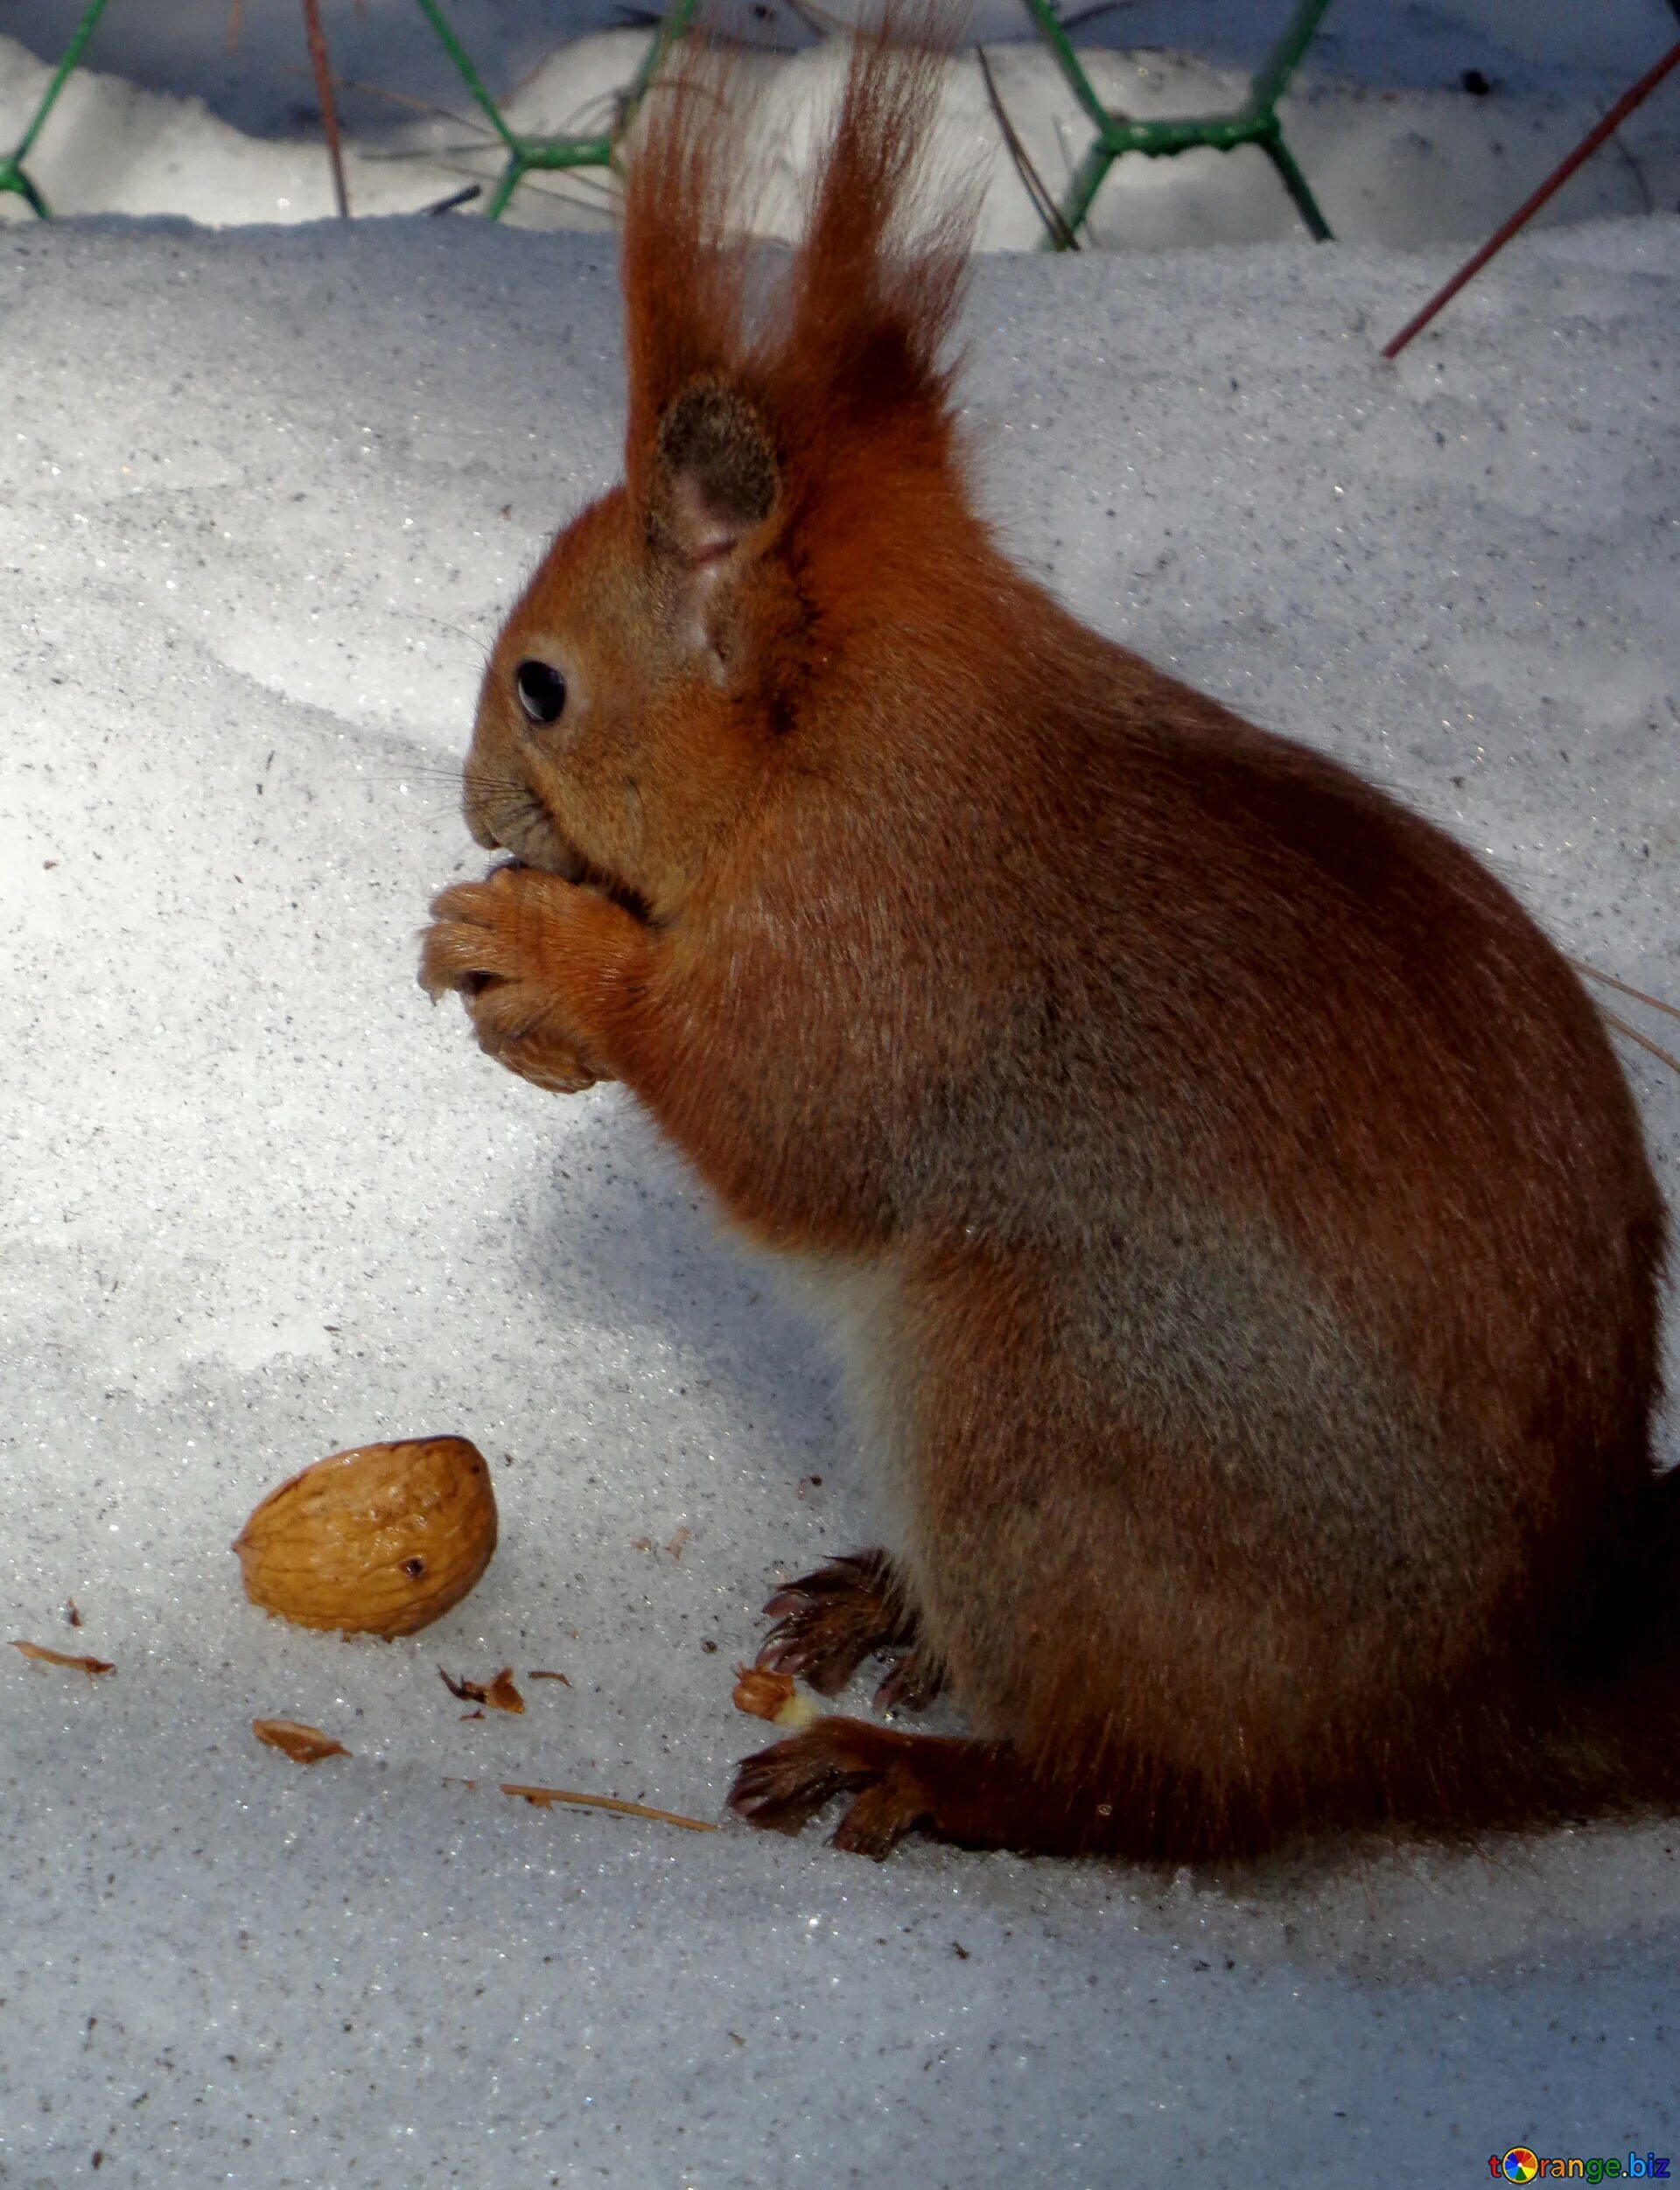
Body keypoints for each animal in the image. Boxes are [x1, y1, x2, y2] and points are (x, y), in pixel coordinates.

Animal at [416, 25, 1664, 1857]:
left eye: (544, 688)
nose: (475, 801)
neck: (854, 745)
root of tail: (1467, 1715)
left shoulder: (873, 950)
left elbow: (772, 1112)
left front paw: (540, 950)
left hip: (1042, 1414)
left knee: (1146, 1787)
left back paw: (926, 1762)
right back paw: (884, 1608)